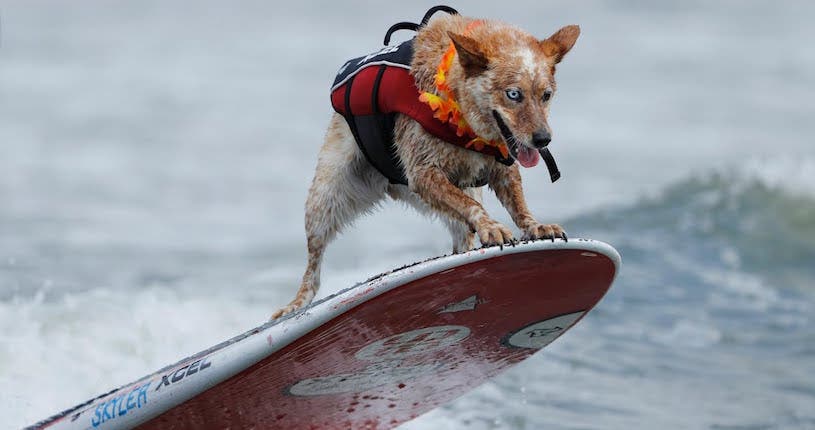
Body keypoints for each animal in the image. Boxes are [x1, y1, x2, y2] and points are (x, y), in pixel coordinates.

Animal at [270, 8, 576, 320]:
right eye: (513, 94)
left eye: (546, 95)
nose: (543, 139)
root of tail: (389, 184)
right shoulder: (423, 173)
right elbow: (471, 207)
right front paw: (491, 226)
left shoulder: (502, 165)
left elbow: (517, 204)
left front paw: (535, 226)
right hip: (326, 197)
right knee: (314, 264)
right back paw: (296, 305)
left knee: (461, 235)